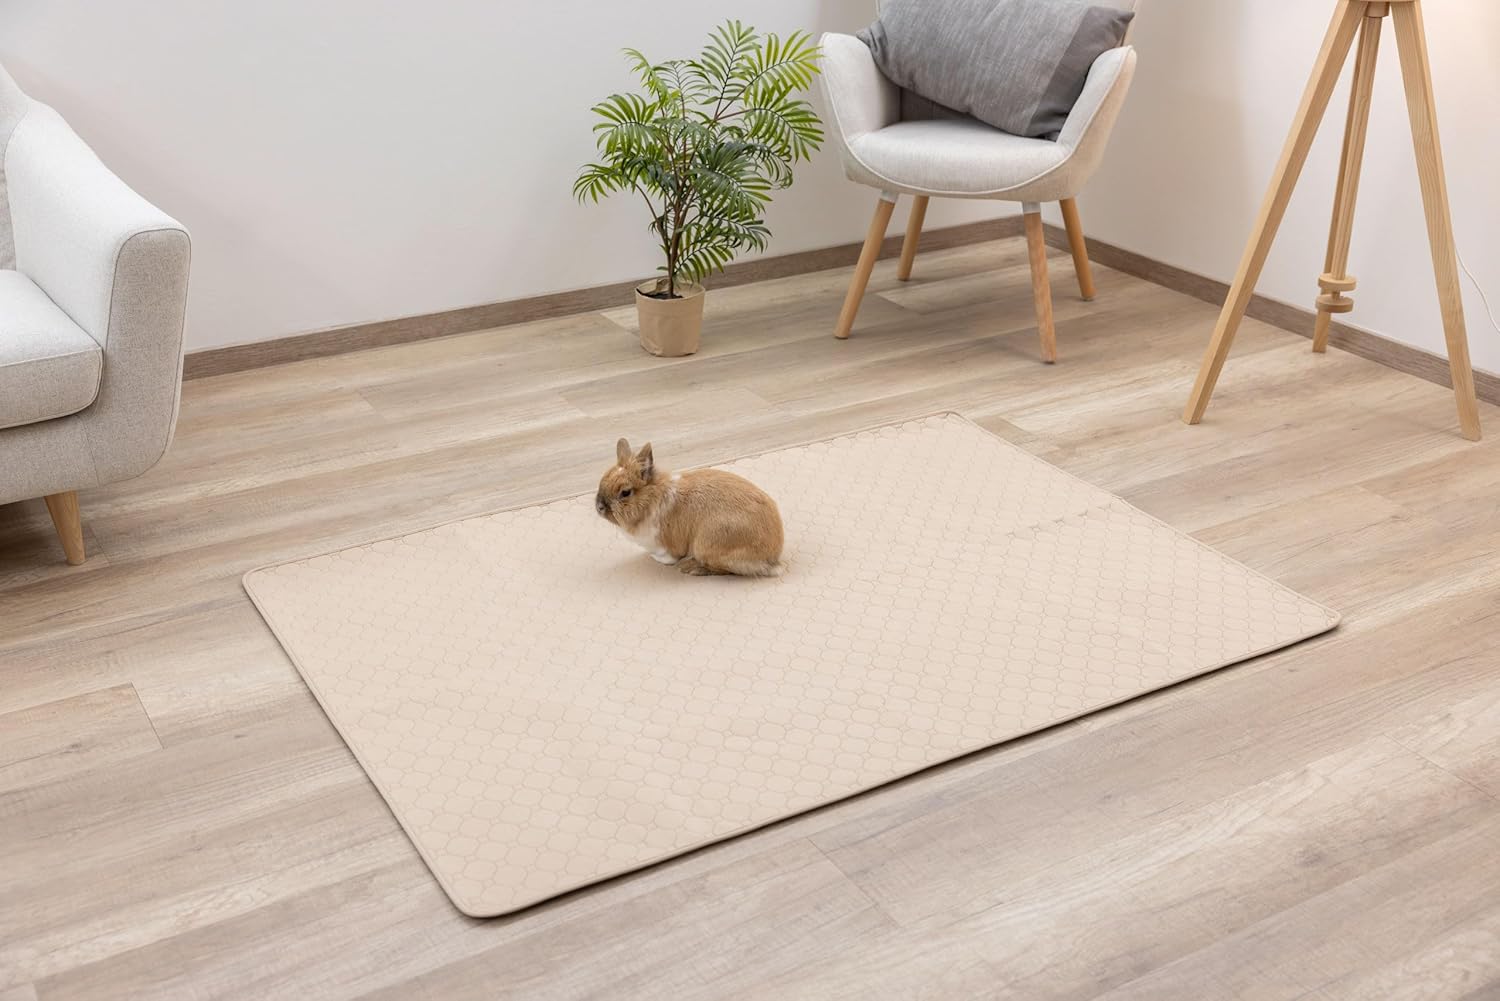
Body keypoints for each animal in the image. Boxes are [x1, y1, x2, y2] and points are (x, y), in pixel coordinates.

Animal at [596, 438, 784, 577]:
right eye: (602, 480)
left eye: (625, 492)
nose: (599, 507)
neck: (654, 498)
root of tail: (771, 557)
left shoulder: (667, 544)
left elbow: (669, 557)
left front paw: (657, 558)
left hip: (705, 545)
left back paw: (691, 568)